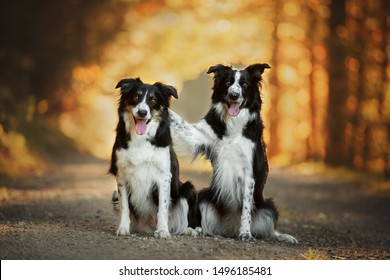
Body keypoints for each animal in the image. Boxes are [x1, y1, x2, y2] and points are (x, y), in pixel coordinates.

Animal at [110, 77, 198, 238]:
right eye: (136, 97)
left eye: (153, 100)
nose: (142, 112)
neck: (141, 138)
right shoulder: (121, 175)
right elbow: (124, 206)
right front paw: (123, 228)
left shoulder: (163, 176)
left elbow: (162, 207)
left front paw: (163, 230)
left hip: (188, 188)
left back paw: (190, 229)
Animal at [169, 63, 298, 243]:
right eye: (228, 82)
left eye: (245, 84)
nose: (234, 95)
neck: (234, 124)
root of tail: (229, 229)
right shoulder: (199, 137)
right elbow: (181, 123)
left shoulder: (249, 173)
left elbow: (246, 210)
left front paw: (245, 234)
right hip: (205, 197)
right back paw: (198, 230)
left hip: (268, 207)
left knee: (269, 229)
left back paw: (281, 236)